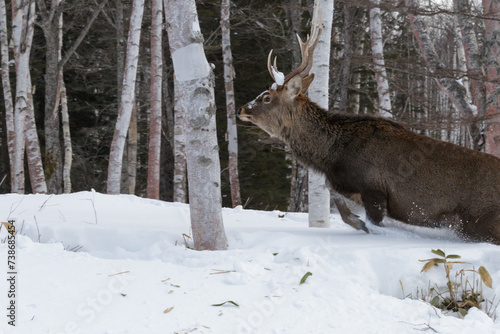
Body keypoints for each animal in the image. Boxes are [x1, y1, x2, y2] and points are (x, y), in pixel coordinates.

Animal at [236, 19, 500, 244]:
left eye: (267, 97)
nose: (242, 109)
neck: (332, 156)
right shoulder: (346, 187)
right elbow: (341, 207)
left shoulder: (375, 189)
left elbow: (374, 225)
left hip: (477, 221)